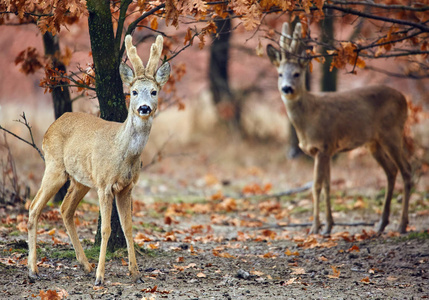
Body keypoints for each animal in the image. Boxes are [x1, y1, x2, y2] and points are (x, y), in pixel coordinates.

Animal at [26, 34, 171, 284]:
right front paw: (100, 277)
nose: (144, 108)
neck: (123, 154)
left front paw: (136, 273)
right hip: (55, 166)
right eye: (134, 92)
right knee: (34, 207)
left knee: (65, 209)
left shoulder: (127, 187)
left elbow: (128, 227)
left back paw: (84, 264)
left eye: (154, 91)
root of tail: (50, 127)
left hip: (80, 179)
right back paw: (33, 269)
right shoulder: (104, 184)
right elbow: (106, 229)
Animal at [268, 22, 412, 236]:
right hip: (374, 142)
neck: (308, 119)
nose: (286, 88)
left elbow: (316, 186)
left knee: (407, 170)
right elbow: (327, 185)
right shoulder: (328, 150)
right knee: (391, 170)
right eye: (279, 74)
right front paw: (328, 226)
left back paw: (401, 225)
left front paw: (315, 228)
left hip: (392, 132)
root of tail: (404, 99)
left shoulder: (323, 145)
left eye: (297, 74)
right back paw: (381, 224)